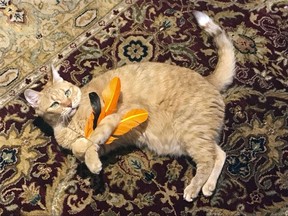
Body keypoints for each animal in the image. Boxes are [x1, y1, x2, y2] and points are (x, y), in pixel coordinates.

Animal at [23, 11, 235, 202]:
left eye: (67, 93)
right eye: (55, 103)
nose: (69, 104)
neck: (68, 124)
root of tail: (207, 79)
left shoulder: (112, 117)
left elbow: (91, 139)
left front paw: (91, 160)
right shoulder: (103, 143)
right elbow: (81, 148)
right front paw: (84, 151)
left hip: (191, 133)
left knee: (208, 161)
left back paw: (194, 188)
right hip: (194, 137)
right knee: (219, 154)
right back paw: (208, 186)